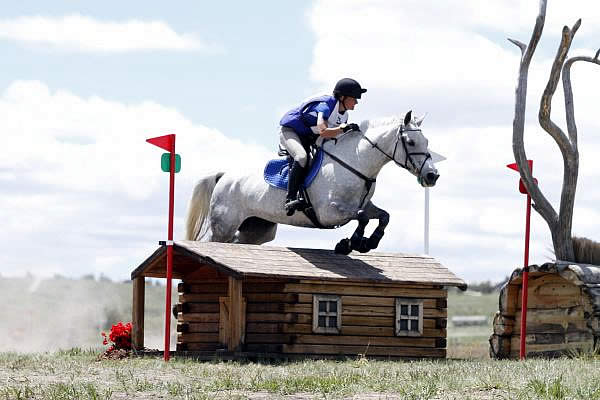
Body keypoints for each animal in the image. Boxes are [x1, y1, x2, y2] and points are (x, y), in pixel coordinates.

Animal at [185, 110, 438, 253]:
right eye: (411, 142)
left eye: (426, 141)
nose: (432, 176)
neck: (355, 161)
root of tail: (224, 176)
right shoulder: (329, 212)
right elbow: (362, 217)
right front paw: (352, 243)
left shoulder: (364, 204)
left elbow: (383, 216)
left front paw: (368, 243)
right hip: (224, 226)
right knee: (212, 241)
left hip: (258, 230)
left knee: (241, 242)